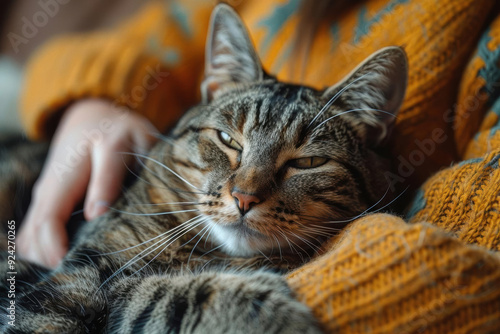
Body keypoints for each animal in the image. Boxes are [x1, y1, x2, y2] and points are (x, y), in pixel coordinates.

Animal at [0, 3, 406, 334]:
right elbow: (176, 294)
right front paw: (274, 317)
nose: (244, 198)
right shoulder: (71, 281)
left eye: (308, 162)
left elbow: (163, 293)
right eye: (228, 140)